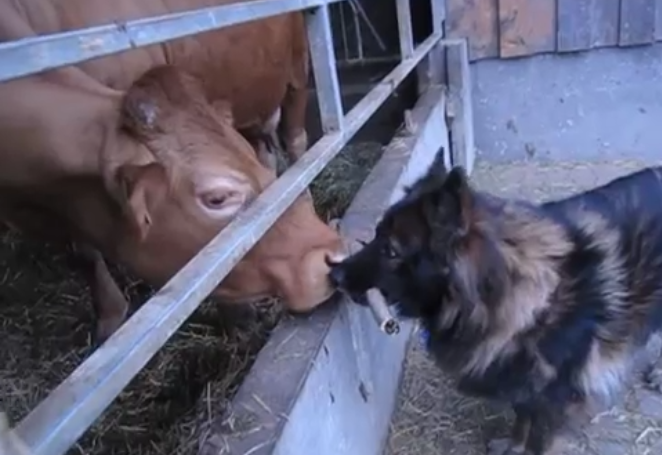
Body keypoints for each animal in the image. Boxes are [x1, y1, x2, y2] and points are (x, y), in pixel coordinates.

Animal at [0, 0, 350, 346]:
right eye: (217, 198)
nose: (334, 256)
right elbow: (84, 251)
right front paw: (110, 317)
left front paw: (239, 316)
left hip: (296, 73)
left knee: (297, 144)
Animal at [332, 149, 662, 455]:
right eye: (376, 235)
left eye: (390, 251)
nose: (334, 274)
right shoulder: (524, 387)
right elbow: (521, 419)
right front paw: (514, 446)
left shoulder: (554, 399)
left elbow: (538, 439)